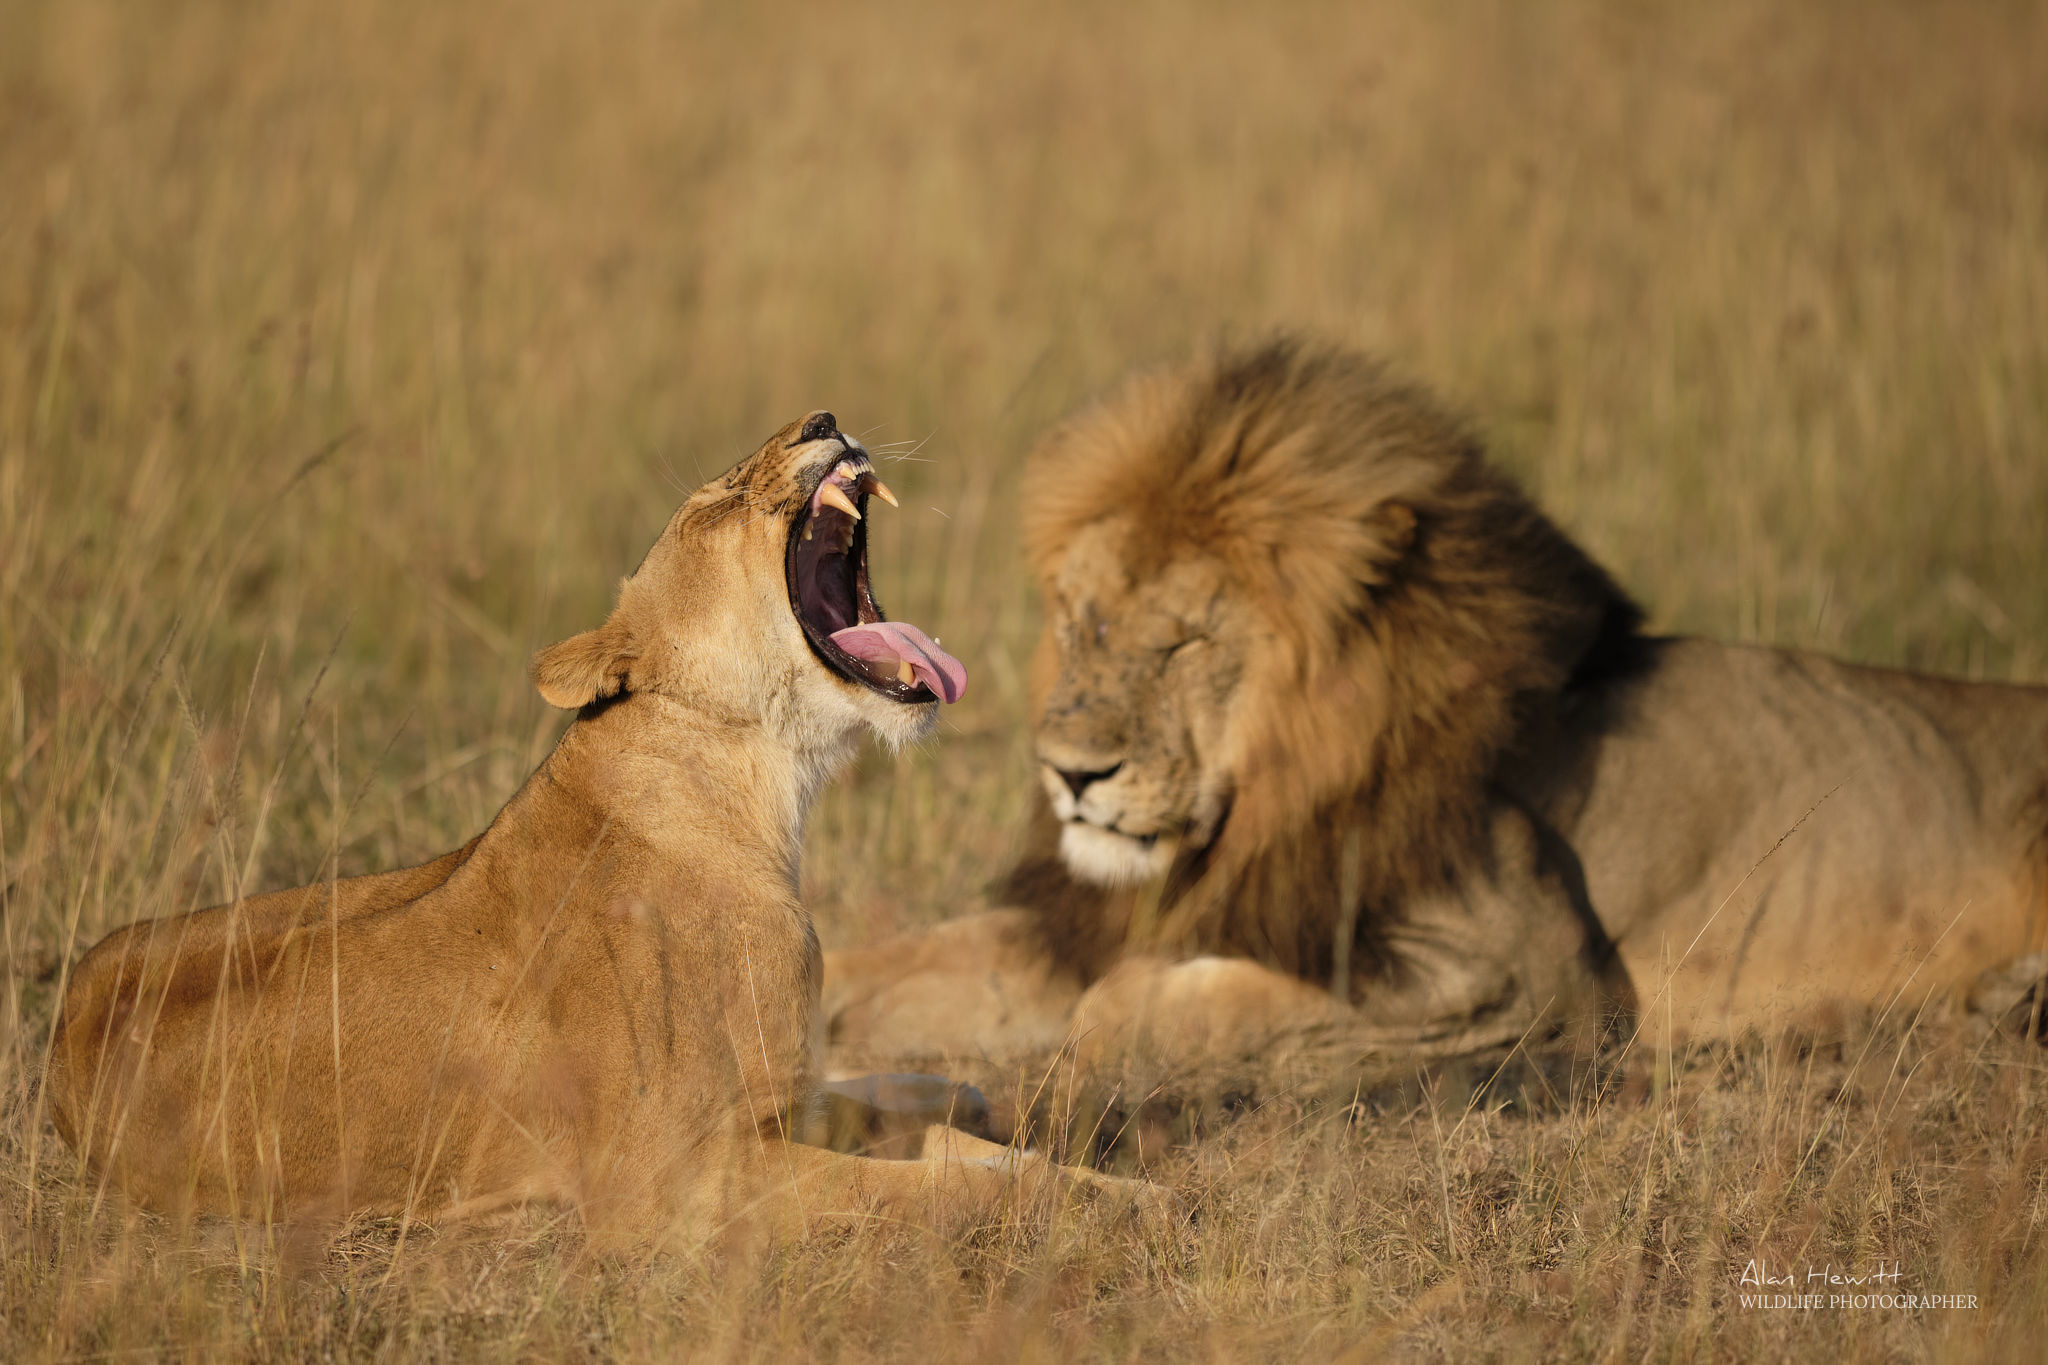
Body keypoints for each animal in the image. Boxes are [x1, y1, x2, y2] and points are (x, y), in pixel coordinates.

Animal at [48, 411, 1138, 1244]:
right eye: (714, 499)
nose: (822, 418)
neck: (757, 785)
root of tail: (59, 1035)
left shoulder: (773, 1104)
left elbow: (946, 1146)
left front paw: (1110, 1183)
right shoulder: (672, 1180)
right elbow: (928, 1186)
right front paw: (1092, 1209)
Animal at [823, 341, 2048, 1088]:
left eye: (1184, 644)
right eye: (1080, 623)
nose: (1070, 774)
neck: (1266, 802)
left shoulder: (1532, 974)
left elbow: (1137, 1007)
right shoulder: (1101, 919)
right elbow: (885, 967)